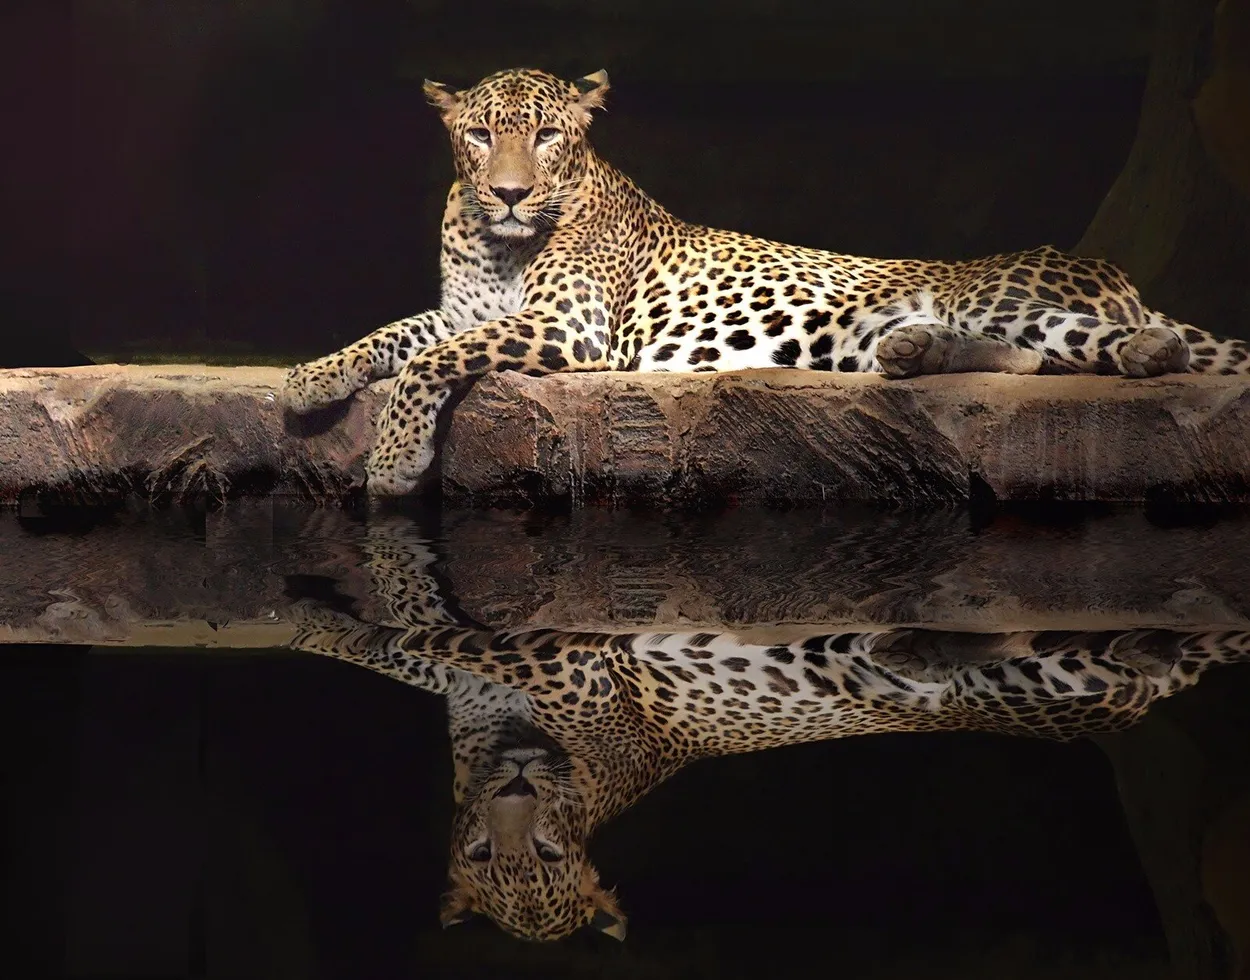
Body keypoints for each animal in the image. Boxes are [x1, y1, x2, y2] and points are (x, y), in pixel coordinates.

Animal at [280, 66, 1250, 495]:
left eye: (548, 135)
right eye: (480, 135)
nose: (511, 192)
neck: (496, 243)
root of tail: (1117, 271)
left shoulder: (568, 330)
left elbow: (426, 364)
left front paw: (396, 459)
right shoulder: (461, 310)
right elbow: (392, 336)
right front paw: (308, 380)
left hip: (1001, 295)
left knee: (1078, 348)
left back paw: (1148, 349)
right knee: (1015, 359)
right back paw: (912, 351)